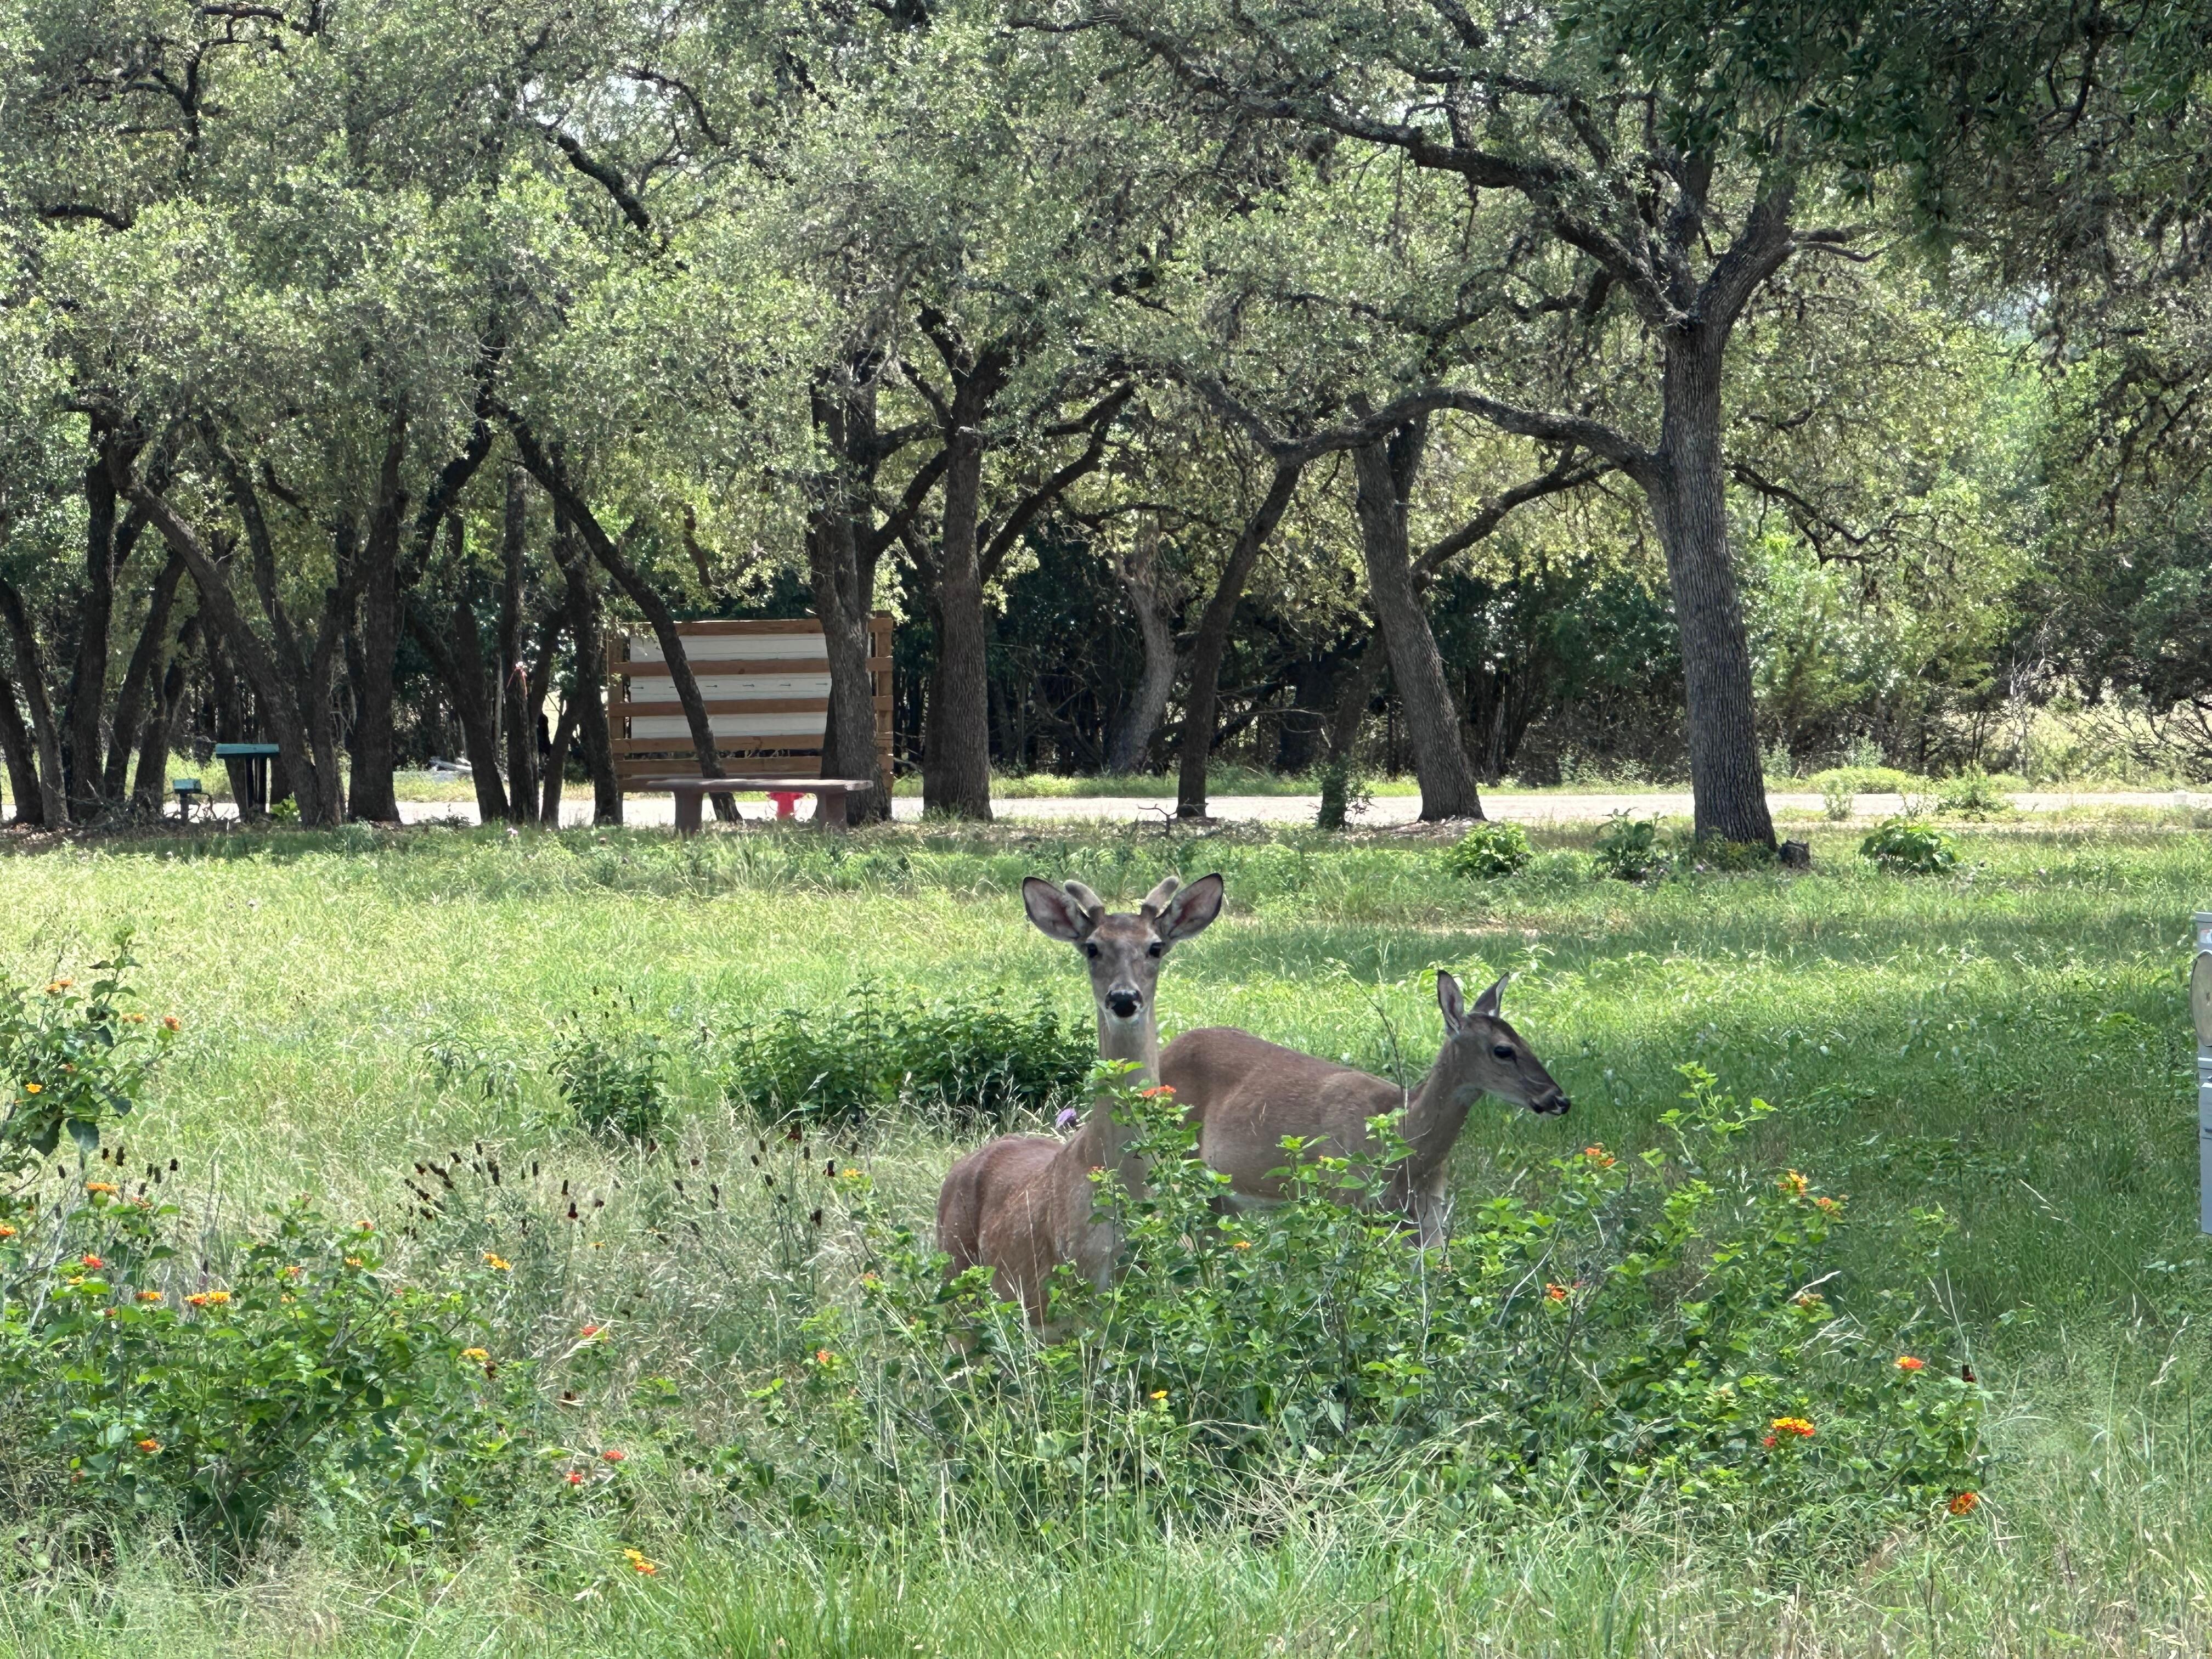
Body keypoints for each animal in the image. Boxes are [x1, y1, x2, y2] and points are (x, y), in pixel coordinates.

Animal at [935, 872, 1226, 1323]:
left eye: (1155, 947)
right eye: (1092, 947)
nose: (1123, 999)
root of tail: (959, 1168)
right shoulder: (1080, 1291)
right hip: (955, 1278)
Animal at [1158, 970, 1569, 1246]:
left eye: (1525, 1039)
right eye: (1503, 1050)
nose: (1559, 1099)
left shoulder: (1429, 1213)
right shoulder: (1344, 1197)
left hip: (1221, 1193)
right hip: (1175, 1162)